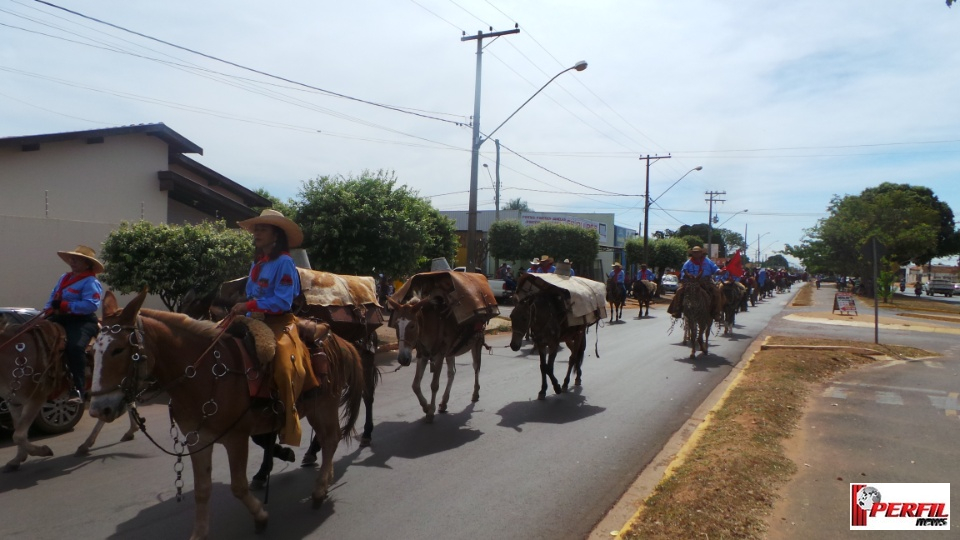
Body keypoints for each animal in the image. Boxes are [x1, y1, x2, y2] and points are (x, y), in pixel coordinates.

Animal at [89, 292, 364, 540]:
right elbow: (202, 490)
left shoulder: (236, 439)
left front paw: (261, 516)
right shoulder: (198, 439)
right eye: (93, 352)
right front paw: (199, 533)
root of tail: (337, 340)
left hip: (323, 406)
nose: (98, 408)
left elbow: (238, 486)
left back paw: (318, 490)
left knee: (330, 439)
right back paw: (324, 480)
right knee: (328, 439)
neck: (204, 373)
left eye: (118, 349)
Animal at [386, 294, 484, 424]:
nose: (403, 359)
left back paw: (475, 393)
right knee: (451, 373)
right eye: (396, 325)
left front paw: (430, 412)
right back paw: (444, 402)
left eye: (412, 325)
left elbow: (434, 385)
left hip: (477, 343)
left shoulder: (439, 356)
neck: (429, 327)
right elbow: (415, 385)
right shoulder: (422, 356)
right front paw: (426, 407)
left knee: (476, 367)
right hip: (451, 352)